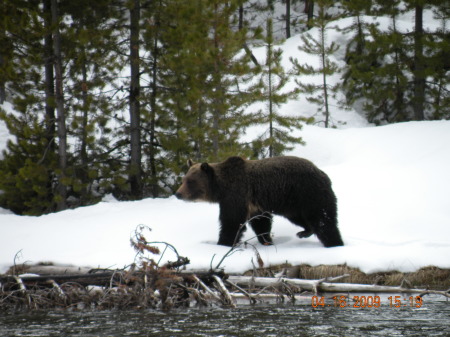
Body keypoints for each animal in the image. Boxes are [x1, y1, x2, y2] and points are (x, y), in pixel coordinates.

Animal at [174, 156, 342, 247]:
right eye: (183, 179)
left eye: (190, 182)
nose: (178, 194)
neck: (222, 187)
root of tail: (323, 173)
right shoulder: (255, 205)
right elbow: (261, 222)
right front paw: (266, 240)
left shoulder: (237, 195)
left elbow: (232, 222)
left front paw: (223, 242)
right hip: (292, 203)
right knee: (301, 218)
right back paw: (304, 232)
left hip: (308, 192)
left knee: (323, 220)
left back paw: (334, 243)